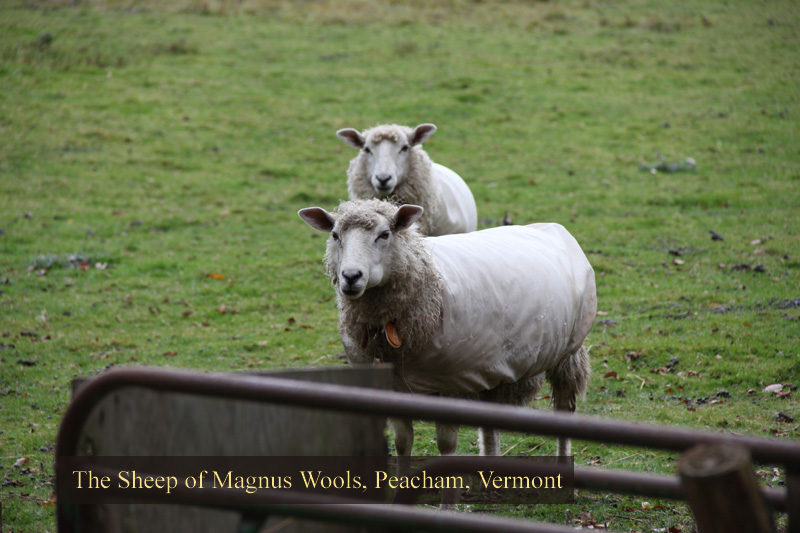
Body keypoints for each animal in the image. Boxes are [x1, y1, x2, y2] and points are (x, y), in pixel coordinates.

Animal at [296, 201, 596, 466]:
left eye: (385, 234)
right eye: (335, 235)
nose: (351, 276)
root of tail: (549, 226)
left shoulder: (450, 384)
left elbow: (446, 446)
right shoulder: (395, 387)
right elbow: (402, 442)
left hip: (567, 354)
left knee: (564, 408)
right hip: (494, 365)